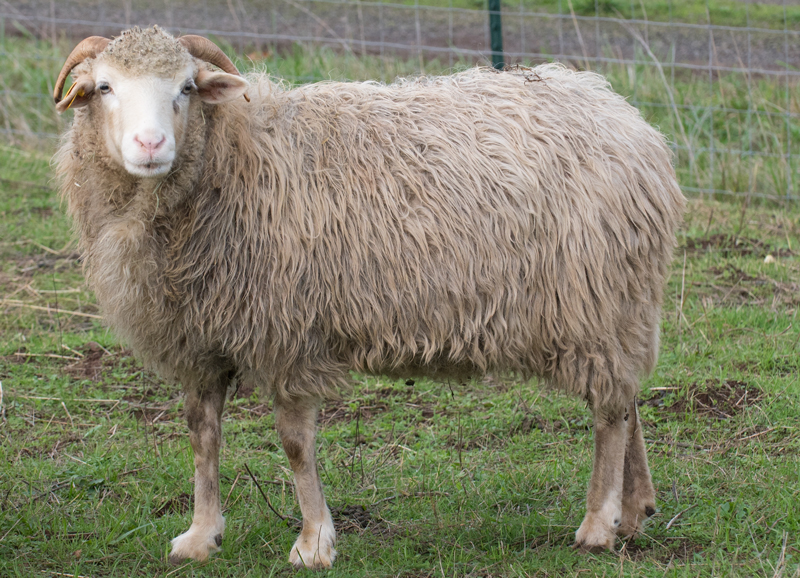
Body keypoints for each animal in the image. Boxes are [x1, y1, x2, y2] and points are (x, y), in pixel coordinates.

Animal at [53, 25, 684, 568]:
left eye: (186, 87)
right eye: (105, 87)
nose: (150, 143)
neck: (231, 158)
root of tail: (627, 121)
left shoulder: (287, 332)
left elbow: (295, 444)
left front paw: (313, 542)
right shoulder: (198, 342)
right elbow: (201, 435)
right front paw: (200, 536)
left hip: (592, 302)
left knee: (608, 413)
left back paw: (598, 524)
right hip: (617, 306)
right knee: (626, 397)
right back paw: (635, 510)